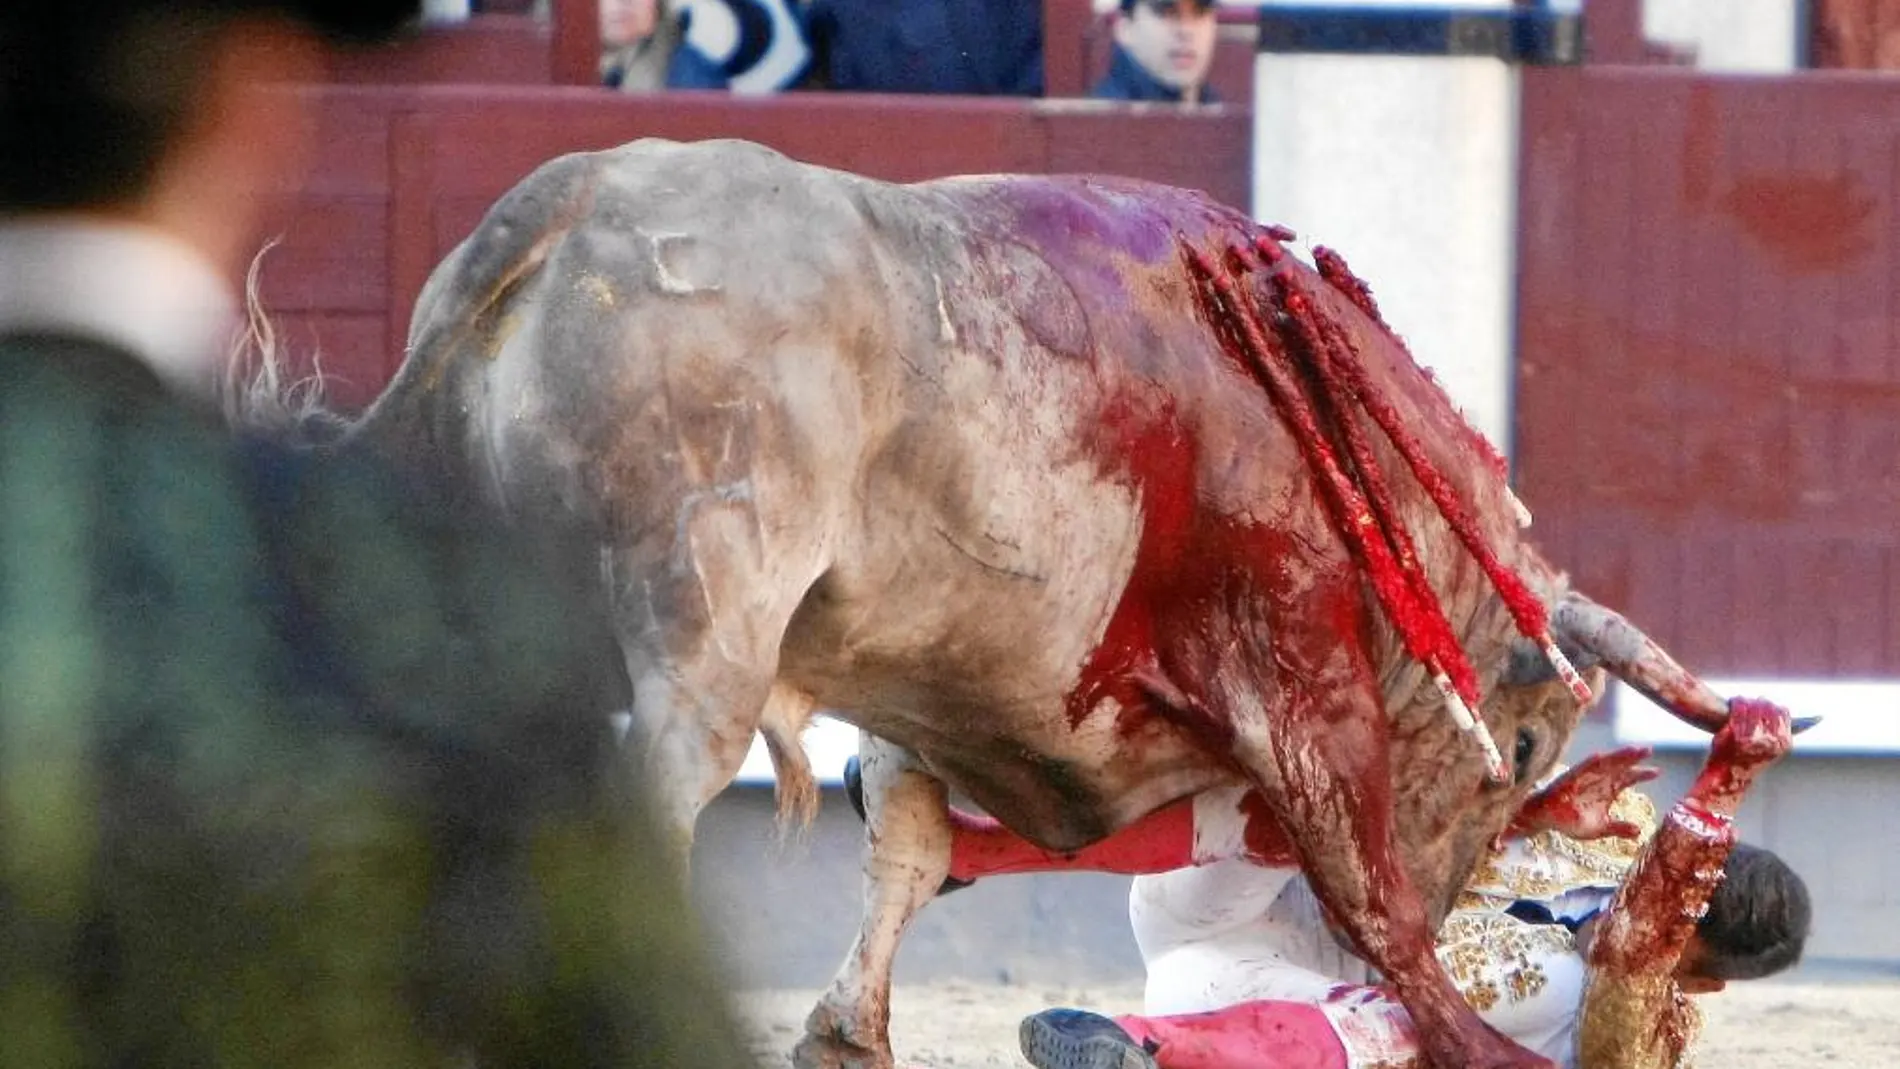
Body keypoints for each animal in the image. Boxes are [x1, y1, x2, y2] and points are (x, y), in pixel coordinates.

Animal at [304, 142, 1755, 1069]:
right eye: (1525, 746)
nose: (1477, 899)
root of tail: (571, 203)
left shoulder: (929, 694)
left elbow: (910, 847)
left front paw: (847, 1034)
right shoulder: (1301, 678)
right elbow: (1373, 897)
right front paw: (1460, 1034)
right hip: (699, 626)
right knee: (640, 802)